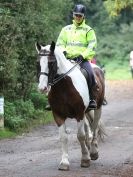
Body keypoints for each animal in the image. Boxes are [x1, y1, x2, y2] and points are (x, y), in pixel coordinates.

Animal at [35, 41, 106, 170]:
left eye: (51, 62)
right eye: (38, 62)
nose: (42, 88)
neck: (64, 86)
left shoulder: (79, 113)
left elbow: (80, 136)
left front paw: (85, 159)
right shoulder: (58, 115)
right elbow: (63, 137)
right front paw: (64, 162)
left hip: (97, 108)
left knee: (94, 127)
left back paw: (93, 152)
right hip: (86, 112)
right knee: (88, 129)